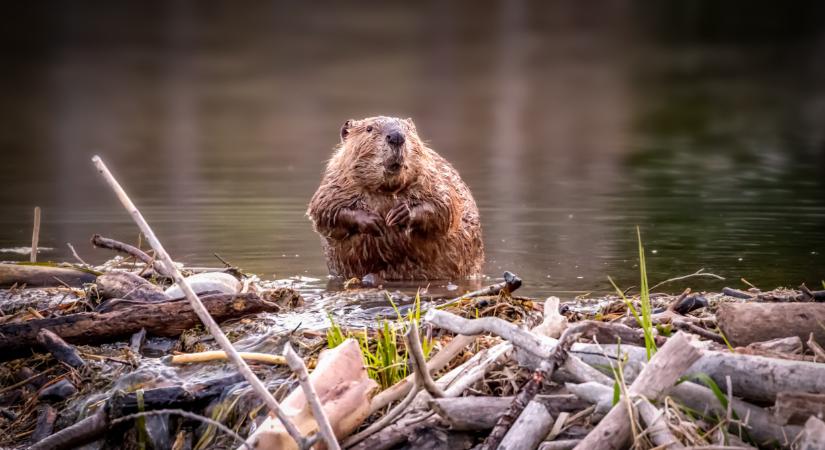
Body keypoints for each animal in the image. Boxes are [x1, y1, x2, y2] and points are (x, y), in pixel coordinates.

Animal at [308, 115, 482, 282]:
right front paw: (374, 221)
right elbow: (324, 210)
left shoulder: (433, 176)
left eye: (407, 129)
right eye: (369, 128)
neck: (386, 189)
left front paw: (399, 214)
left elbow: (444, 206)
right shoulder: (335, 183)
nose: (397, 137)